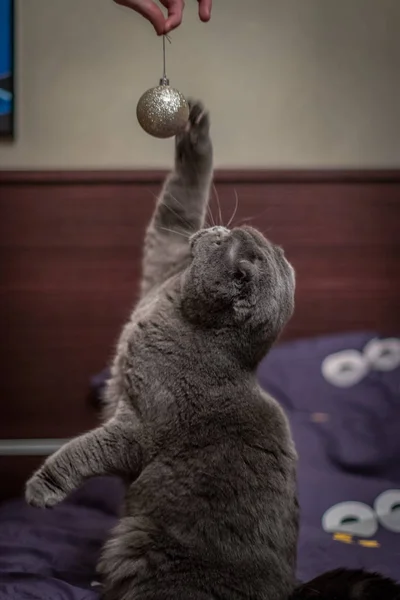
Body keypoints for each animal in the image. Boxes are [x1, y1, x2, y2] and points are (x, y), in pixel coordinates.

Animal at [25, 101, 298, 596]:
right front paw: (194, 132)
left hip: (142, 543)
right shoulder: (168, 257)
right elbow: (178, 205)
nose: (215, 228)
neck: (176, 310)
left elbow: (85, 451)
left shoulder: (139, 428)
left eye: (226, 241)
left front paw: (42, 487)